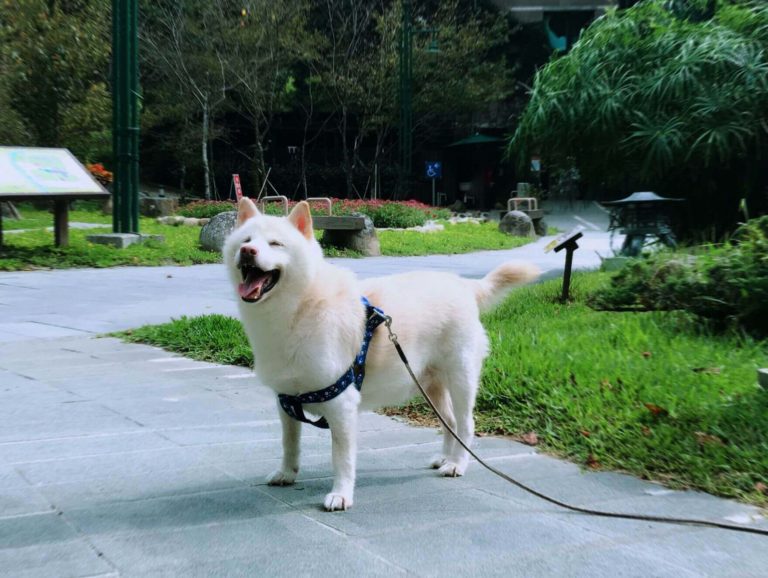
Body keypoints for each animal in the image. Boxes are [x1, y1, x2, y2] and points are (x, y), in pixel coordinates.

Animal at [224, 197, 540, 508]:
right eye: (246, 240)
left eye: (276, 244)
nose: (248, 251)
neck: (299, 307)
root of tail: (464, 284)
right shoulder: (286, 402)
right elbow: (289, 444)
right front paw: (287, 473)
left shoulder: (341, 404)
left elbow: (342, 458)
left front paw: (341, 494)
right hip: (429, 385)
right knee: (449, 422)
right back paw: (444, 458)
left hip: (461, 377)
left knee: (464, 424)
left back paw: (457, 463)